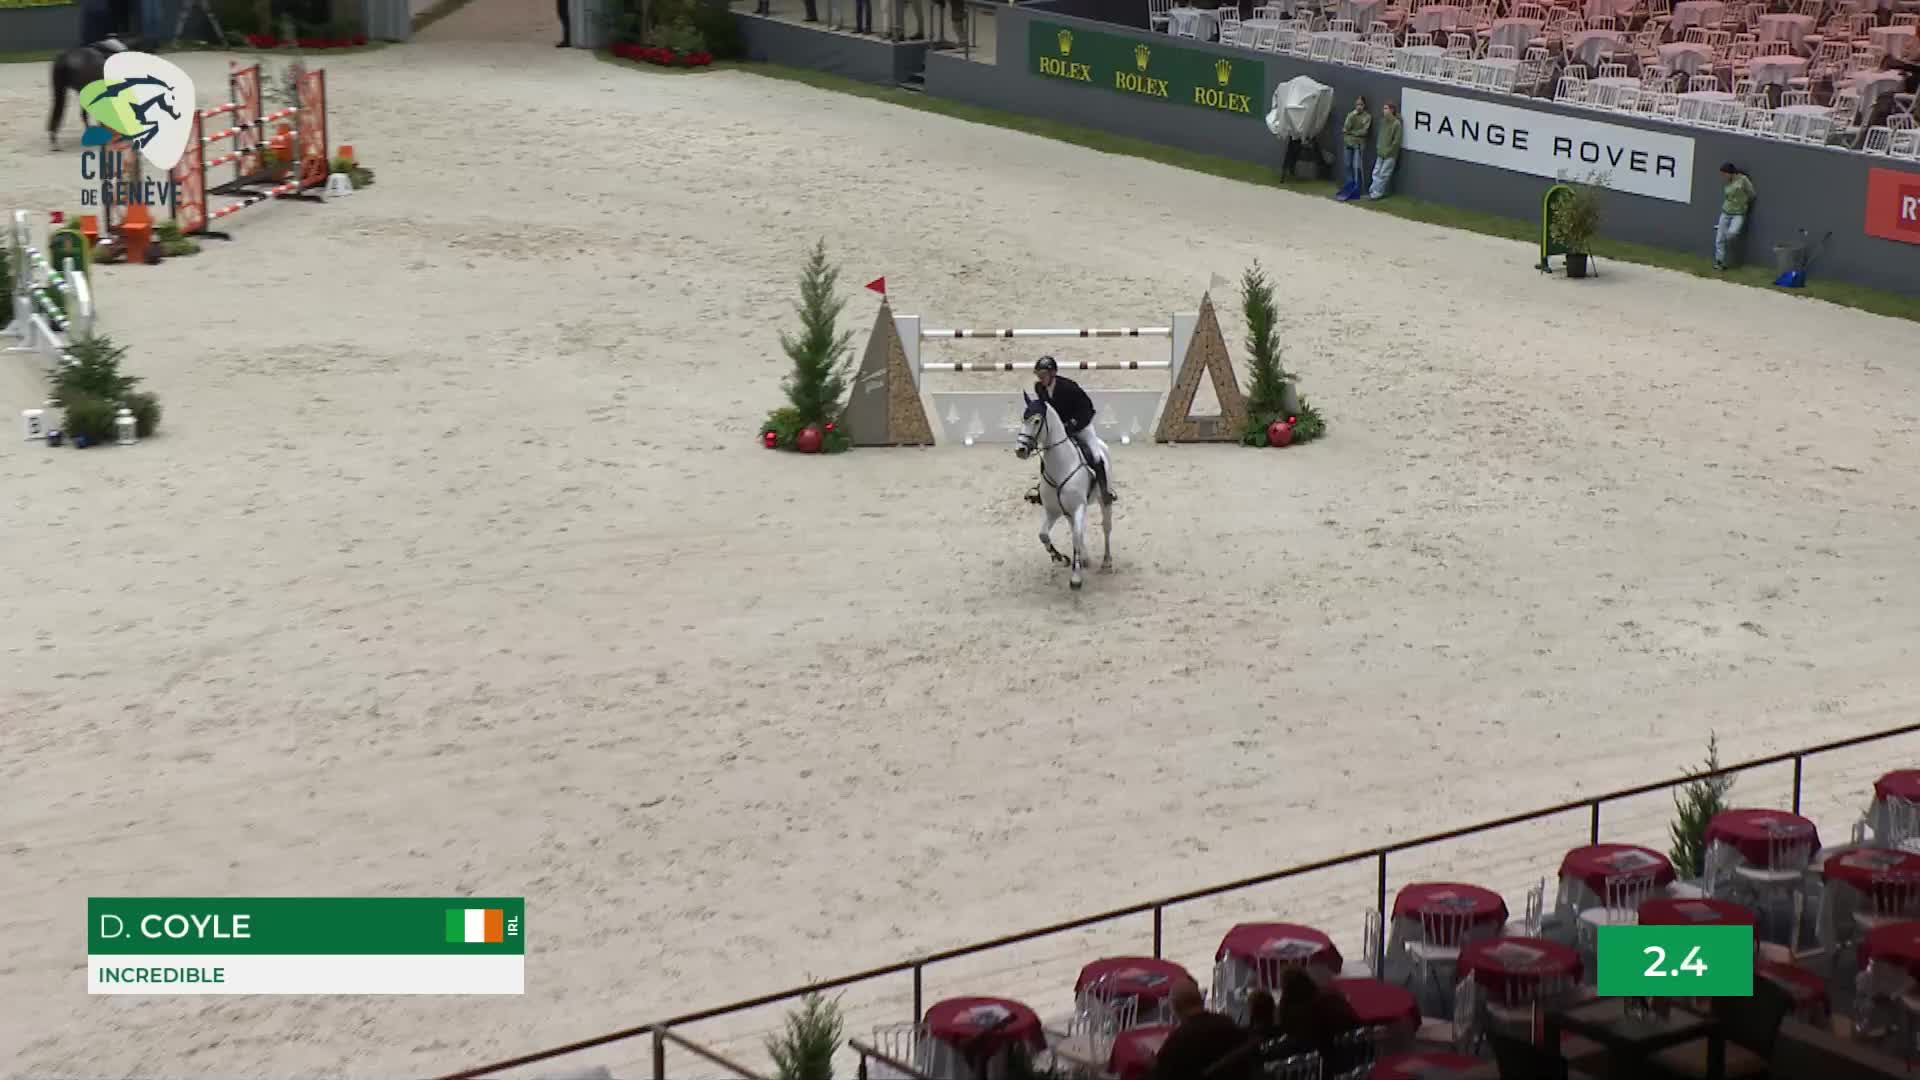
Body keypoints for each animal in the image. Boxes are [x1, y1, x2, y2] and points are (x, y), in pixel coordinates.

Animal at [1014, 392, 1113, 591]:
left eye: (1037, 420)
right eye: (1023, 419)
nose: (1020, 450)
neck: (1061, 465)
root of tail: (1101, 444)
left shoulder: (1079, 507)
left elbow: (1076, 536)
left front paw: (1076, 577)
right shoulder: (1053, 510)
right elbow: (1044, 535)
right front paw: (1061, 558)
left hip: (1103, 500)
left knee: (1106, 527)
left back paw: (1106, 561)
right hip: (1067, 512)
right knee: (1075, 528)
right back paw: (1085, 559)